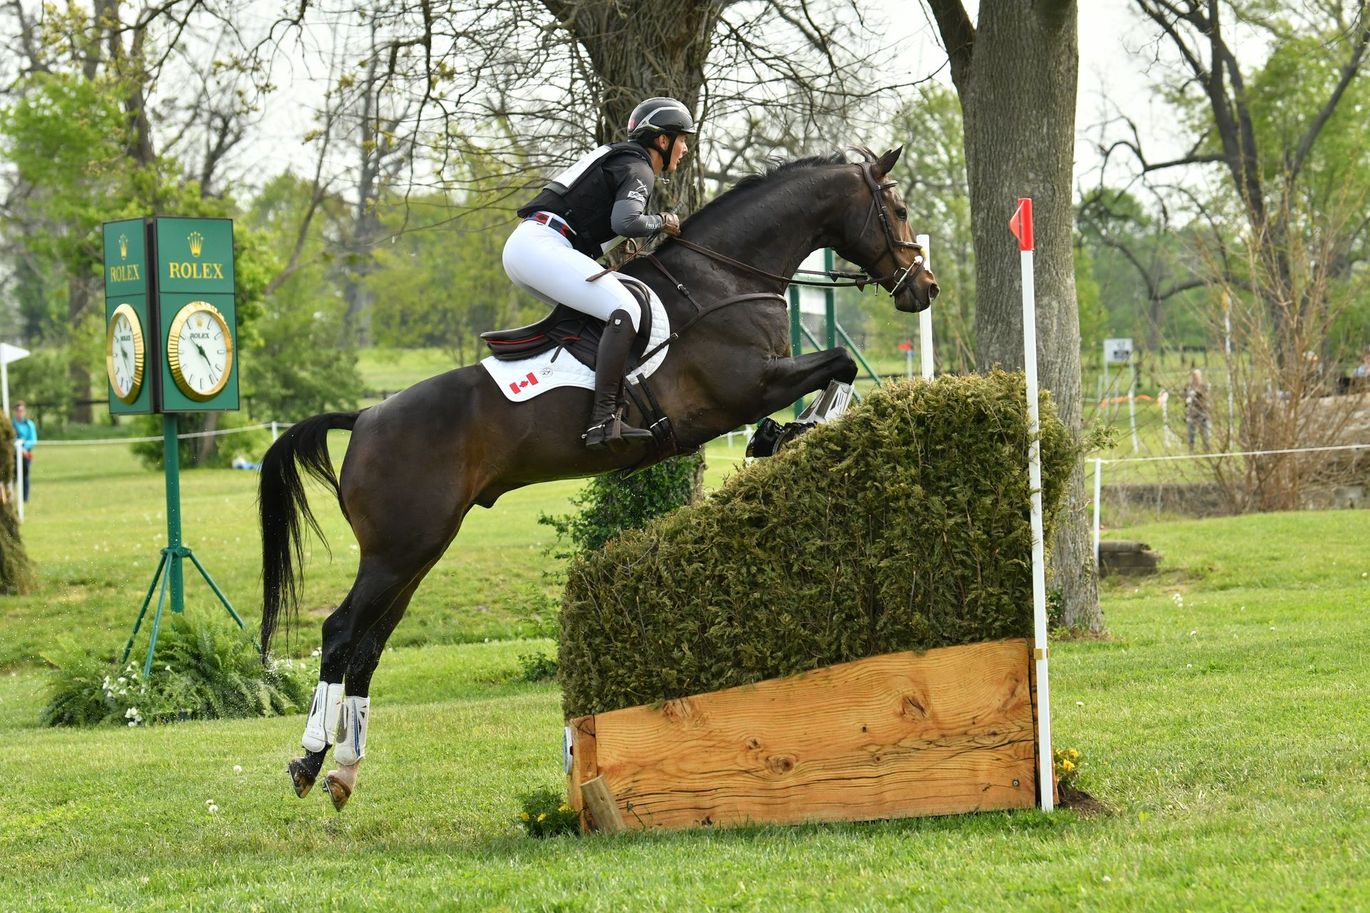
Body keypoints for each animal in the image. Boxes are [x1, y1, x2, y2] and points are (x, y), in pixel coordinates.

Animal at [260, 142, 937, 806]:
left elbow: (835, 372)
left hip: (419, 551)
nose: (924, 288)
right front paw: (797, 431)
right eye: (900, 210)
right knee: (340, 631)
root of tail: (366, 416)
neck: (725, 277)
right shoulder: (746, 386)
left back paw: (345, 771)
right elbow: (841, 363)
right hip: (397, 552)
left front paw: (781, 437)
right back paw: (310, 758)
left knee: (369, 647)